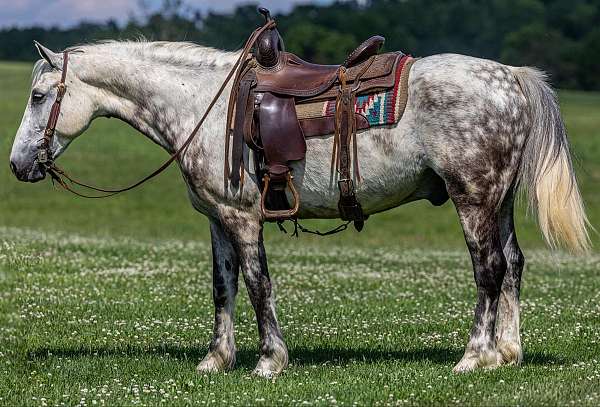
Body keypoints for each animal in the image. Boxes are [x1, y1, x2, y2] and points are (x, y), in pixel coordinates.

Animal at [10, 39, 592, 378]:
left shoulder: (243, 218)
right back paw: (508, 353)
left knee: (488, 269)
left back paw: (475, 356)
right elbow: (223, 287)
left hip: (473, 198)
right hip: (499, 201)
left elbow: (257, 283)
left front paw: (270, 360)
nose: (18, 164)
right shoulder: (218, 219)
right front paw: (216, 359)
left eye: (38, 96)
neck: (201, 103)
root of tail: (512, 77)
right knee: (512, 264)